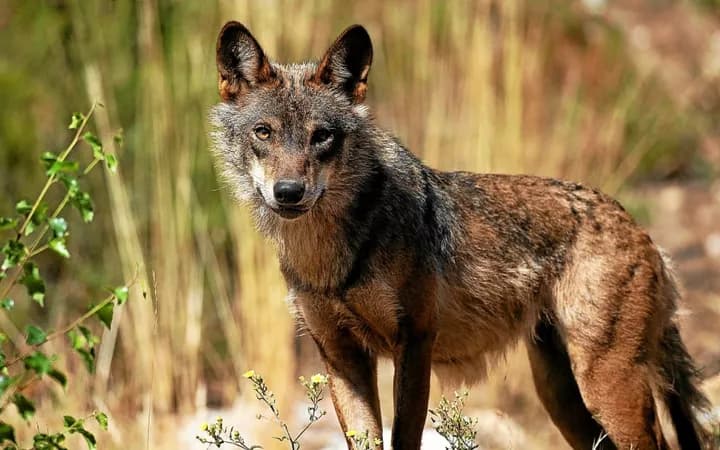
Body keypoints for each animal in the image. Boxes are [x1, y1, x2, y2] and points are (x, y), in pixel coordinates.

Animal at [210, 21, 711, 449]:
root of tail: (639, 228)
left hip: (605, 386)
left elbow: (404, 438)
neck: (332, 257)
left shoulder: (415, 343)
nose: (288, 192)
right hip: (561, 397)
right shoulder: (340, 356)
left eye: (322, 137)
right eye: (264, 132)